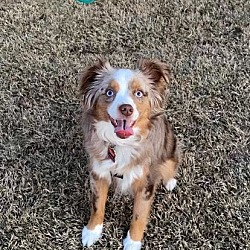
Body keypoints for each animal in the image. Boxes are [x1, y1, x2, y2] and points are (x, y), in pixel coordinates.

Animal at [80, 59, 180, 250]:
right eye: (109, 92)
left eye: (139, 93)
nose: (126, 109)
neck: (121, 145)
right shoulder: (98, 174)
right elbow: (97, 205)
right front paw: (92, 232)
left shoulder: (146, 183)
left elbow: (139, 216)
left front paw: (132, 242)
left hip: (170, 148)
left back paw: (170, 181)